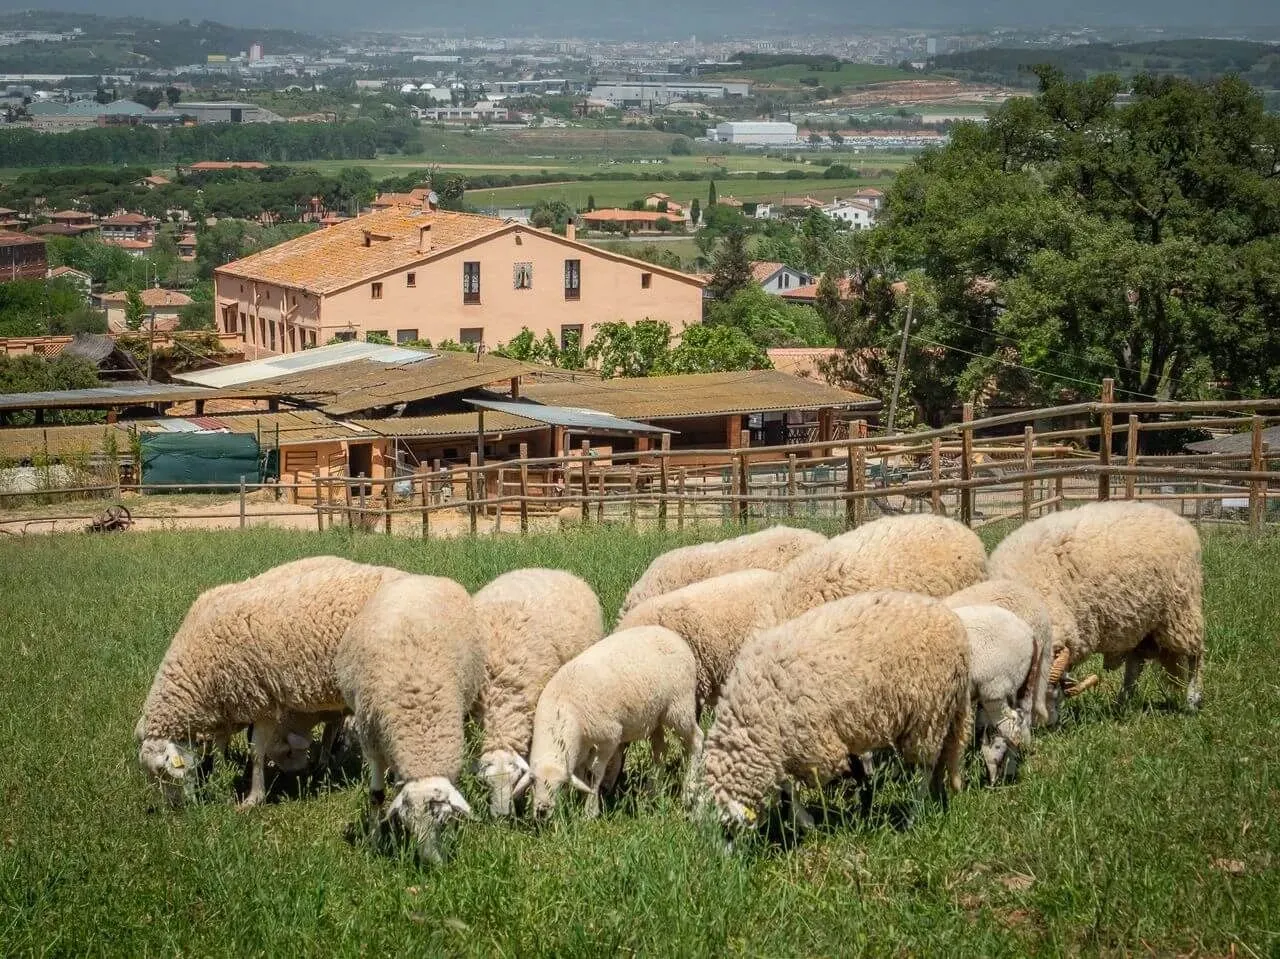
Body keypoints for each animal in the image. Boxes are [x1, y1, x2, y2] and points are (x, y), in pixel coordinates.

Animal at [136, 555, 406, 807]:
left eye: (165, 773)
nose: (177, 808)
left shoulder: (261, 702)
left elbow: (256, 751)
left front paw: (253, 797)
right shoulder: (228, 709)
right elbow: (219, 745)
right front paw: (219, 772)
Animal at [335, 574, 483, 864]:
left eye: (442, 822)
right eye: (408, 824)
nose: (432, 864)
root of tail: (422, 577)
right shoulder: (372, 741)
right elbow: (376, 796)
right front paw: (376, 841)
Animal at [529, 625, 701, 818]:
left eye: (559, 786)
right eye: (533, 781)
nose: (541, 812)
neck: (564, 707)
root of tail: (672, 634)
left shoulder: (609, 738)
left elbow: (594, 773)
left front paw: (590, 810)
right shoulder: (581, 748)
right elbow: (581, 774)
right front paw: (579, 802)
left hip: (679, 705)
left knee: (696, 740)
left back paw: (689, 790)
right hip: (656, 716)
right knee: (660, 750)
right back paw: (652, 792)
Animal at [698, 591, 971, 835]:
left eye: (726, 829)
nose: (725, 858)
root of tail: (955, 624)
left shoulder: (813, 746)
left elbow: (801, 783)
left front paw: (816, 821)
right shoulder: (787, 744)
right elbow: (788, 785)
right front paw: (806, 821)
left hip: (929, 714)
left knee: (926, 768)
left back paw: (913, 816)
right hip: (941, 713)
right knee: (939, 762)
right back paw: (936, 801)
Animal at [988, 501, 1205, 713]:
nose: (1049, 721)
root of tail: (1179, 521)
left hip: (1180, 611)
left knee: (1195, 655)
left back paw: (1192, 701)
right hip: (1142, 622)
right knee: (1135, 663)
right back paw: (1122, 704)